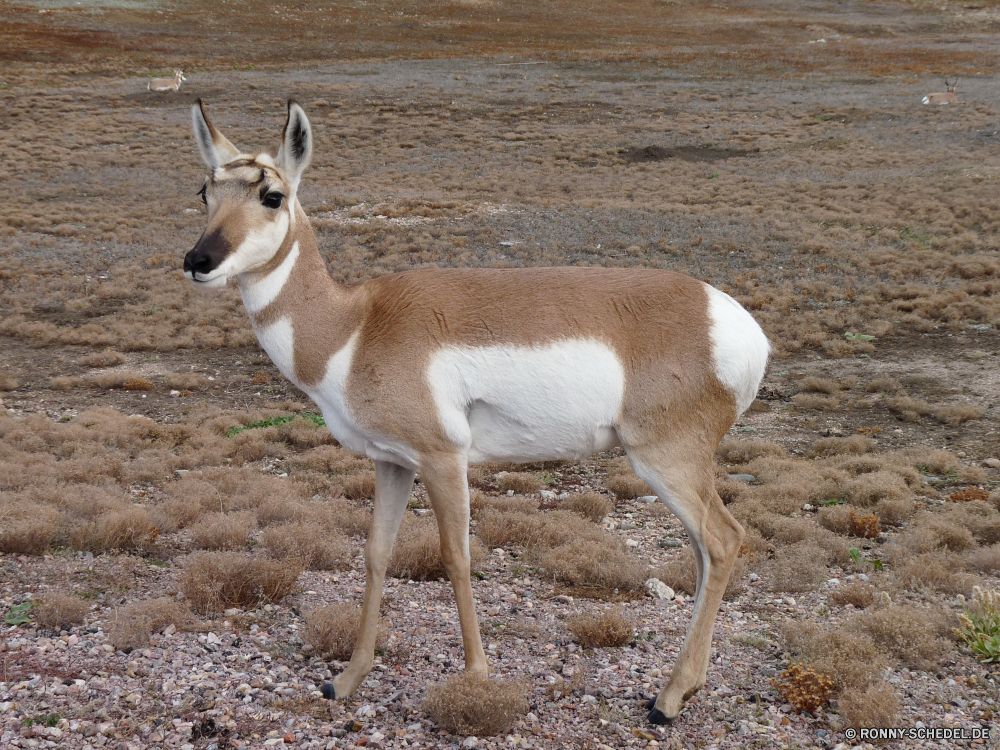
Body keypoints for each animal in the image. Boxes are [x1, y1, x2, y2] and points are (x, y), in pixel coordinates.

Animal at [184, 100, 768, 728]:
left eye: (272, 195)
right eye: (205, 190)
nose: (198, 260)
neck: (355, 326)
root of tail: (736, 322)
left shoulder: (444, 459)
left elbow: (456, 557)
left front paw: (476, 677)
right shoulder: (393, 463)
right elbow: (376, 554)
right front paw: (346, 680)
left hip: (666, 459)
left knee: (723, 541)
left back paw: (668, 698)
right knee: (706, 551)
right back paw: (686, 687)